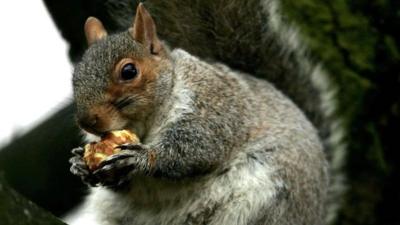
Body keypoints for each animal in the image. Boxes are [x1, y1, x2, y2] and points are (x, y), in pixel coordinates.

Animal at [68, 1, 344, 225]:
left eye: (128, 71)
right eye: (75, 76)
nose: (87, 122)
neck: (145, 122)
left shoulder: (213, 106)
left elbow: (198, 147)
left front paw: (141, 158)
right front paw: (79, 164)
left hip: (269, 203)